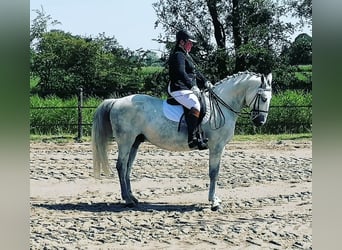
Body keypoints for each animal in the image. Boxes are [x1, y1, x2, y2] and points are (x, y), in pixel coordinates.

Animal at [91, 71, 272, 210]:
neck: (221, 106)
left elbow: (215, 172)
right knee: (121, 166)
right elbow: (214, 172)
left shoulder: (219, 147)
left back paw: (132, 197)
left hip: (135, 142)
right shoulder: (216, 147)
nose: (260, 121)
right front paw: (214, 202)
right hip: (125, 141)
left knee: (128, 167)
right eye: (263, 98)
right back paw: (127, 200)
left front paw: (214, 199)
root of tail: (116, 101)